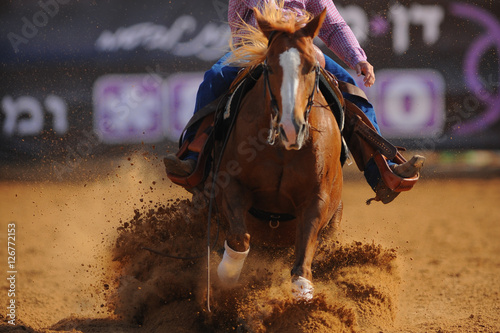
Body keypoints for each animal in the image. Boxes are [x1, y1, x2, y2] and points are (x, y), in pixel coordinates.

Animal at [213, 3, 342, 300]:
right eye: (269, 67)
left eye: (311, 66)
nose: (291, 128)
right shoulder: (231, 184)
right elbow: (239, 238)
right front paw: (227, 275)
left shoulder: (317, 198)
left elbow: (303, 258)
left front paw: (303, 295)